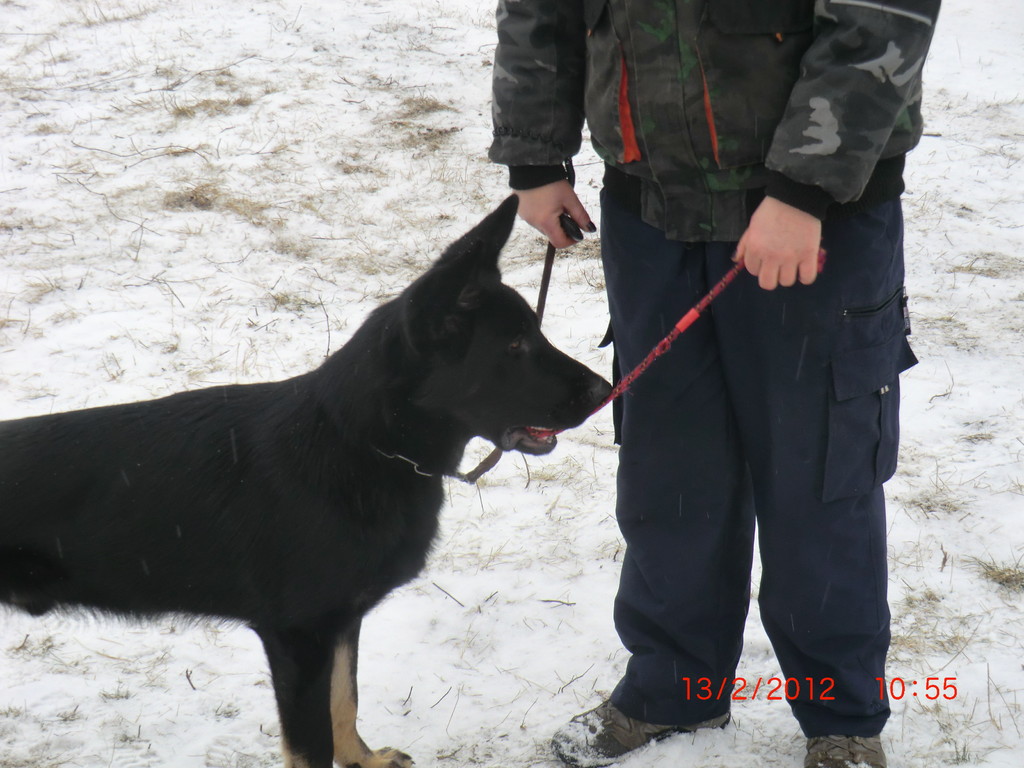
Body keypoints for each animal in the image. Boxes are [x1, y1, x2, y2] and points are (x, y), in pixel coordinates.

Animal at [0, 198, 606, 768]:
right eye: (514, 347)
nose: (604, 390)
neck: (361, 443)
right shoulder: (300, 639)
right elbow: (313, 740)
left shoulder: (338, 625)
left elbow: (346, 701)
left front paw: (362, 758)